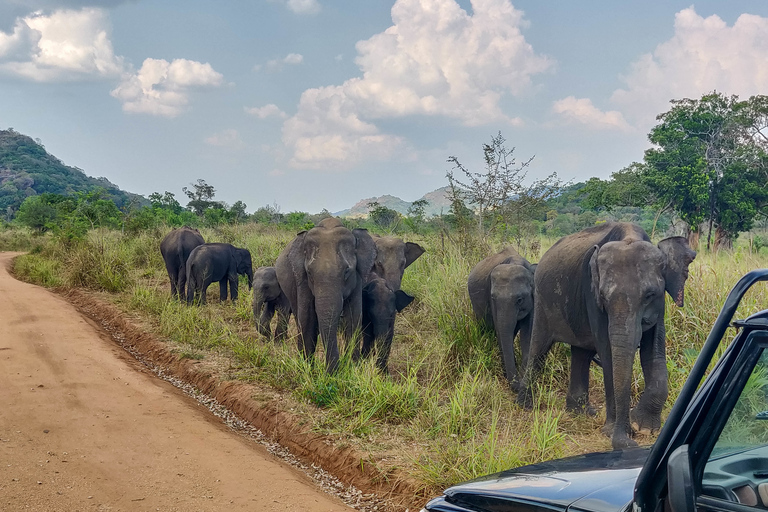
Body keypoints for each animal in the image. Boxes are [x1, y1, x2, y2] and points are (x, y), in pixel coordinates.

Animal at [276, 216, 378, 372]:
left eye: (347, 271)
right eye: (309, 272)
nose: (330, 372)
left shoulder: (358, 278)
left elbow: (354, 317)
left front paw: (352, 368)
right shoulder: (302, 279)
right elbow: (308, 317)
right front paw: (308, 369)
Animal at [516, 222, 696, 450]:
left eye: (649, 295)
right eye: (603, 297)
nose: (629, 441)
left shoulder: (660, 303)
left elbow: (654, 350)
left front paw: (644, 428)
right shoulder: (592, 296)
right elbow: (608, 351)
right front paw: (615, 432)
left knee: (581, 353)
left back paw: (581, 412)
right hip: (542, 301)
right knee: (539, 349)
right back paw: (526, 406)